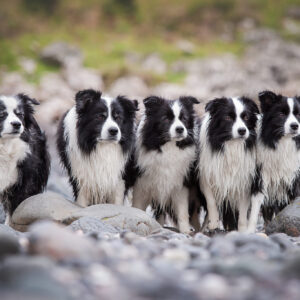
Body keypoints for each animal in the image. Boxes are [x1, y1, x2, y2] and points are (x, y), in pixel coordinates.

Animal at [132, 96, 200, 234]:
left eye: (184, 118)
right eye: (166, 118)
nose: (180, 129)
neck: (168, 147)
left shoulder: (180, 185)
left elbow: (182, 211)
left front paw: (185, 231)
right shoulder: (140, 187)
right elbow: (137, 208)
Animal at [198, 96, 258, 232]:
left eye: (246, 117)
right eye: (228, 117)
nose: (242, 131)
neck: (231, 144)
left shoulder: (244, 182)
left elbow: (242, 212)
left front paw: (242, 230)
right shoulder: (206, 176)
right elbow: (211, 201)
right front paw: (214, 222)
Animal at [247, 91, 300, 232]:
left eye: (299, 114)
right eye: (281, 114)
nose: (295, 126)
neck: (284, 142)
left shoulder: (293, 179)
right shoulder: (260, 178)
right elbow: (255, 208)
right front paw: (249, 231)